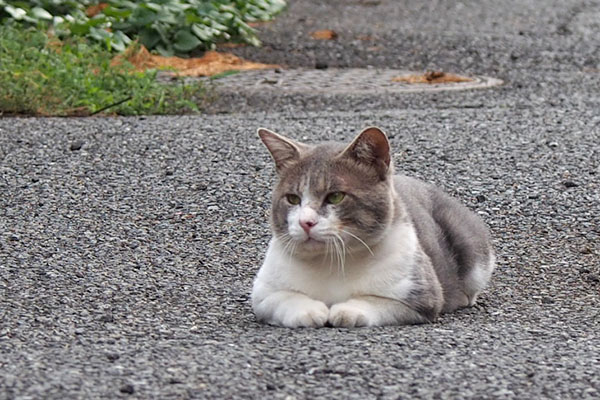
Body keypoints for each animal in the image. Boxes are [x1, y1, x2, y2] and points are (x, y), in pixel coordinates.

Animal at [251, 126, 494, 326]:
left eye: (336, 196)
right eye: (292, 199)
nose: (305, 222)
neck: (331, 261)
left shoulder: (419, 297)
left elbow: (374, 301)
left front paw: (347, 310)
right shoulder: (262, 293)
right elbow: (283, 298)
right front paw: (309, 311)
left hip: (471, 249)